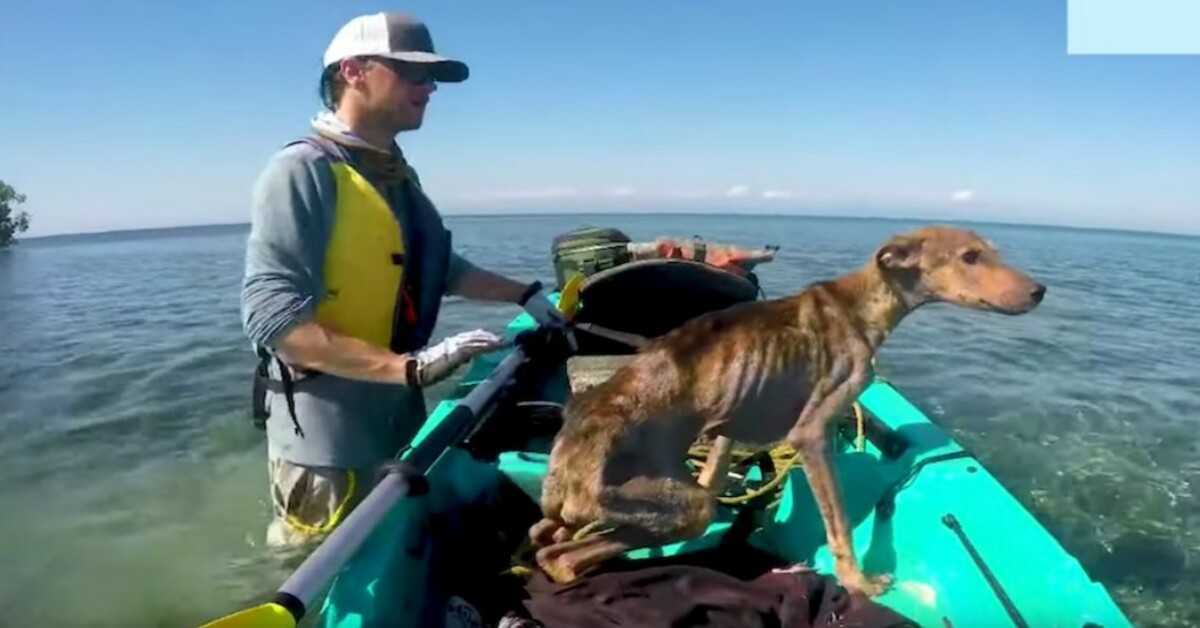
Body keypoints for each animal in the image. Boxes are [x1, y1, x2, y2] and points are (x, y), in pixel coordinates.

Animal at [530, 224, 1046, 595]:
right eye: (970, 257)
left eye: (990, 251)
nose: (1040, 291)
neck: (862, 304)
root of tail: (565, 452)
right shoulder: (812, 434)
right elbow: (839, 526)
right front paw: (859, 583)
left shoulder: (733, 419)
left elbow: (716, 467)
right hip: (674, 506)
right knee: (561, 557)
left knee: (548, 541)